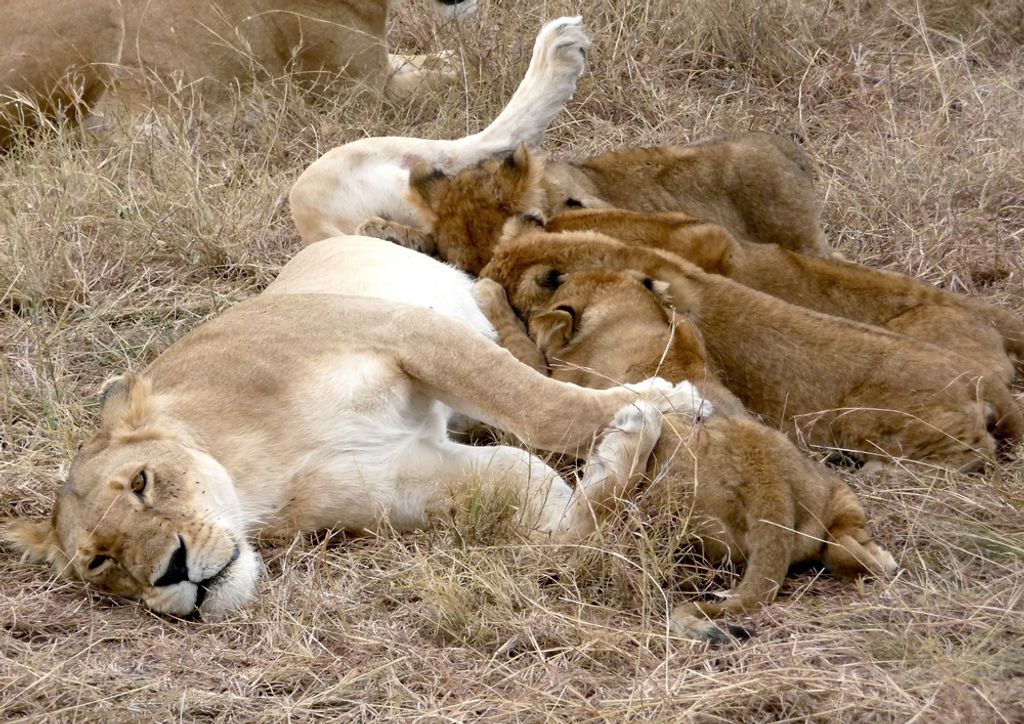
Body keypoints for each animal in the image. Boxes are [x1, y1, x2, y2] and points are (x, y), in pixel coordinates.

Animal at [4, 234, 710, 619]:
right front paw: (627, 441)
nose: (171, 573)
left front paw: (666, 399)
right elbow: (570, 531)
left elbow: (539, 404)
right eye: (100, 563)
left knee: (497, 315)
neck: (254, 476)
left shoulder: (401, 330)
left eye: (143, 483)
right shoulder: (407, 477)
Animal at [473, 270, 897, 641]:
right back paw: (883, 559)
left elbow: (520, 352)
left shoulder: (555, 387)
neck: (628, 314)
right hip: (836, 494)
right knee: (848, 553)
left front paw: (488, 294)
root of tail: (771, 491)